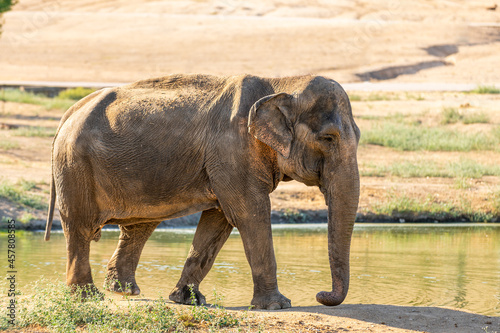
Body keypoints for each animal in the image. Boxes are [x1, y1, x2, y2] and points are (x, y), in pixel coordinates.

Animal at [45, 74, 360, 310]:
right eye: (328, 138)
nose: (320, 295)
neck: (281, 83)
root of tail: (71, 111)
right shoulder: (231, 150)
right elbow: (250, 212)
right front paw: (278, 306)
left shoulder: (225, 160)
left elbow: (219, 220)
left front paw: (189, 300)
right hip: (74, 164)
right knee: (80, 226)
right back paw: (87, 297)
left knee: (139, 227)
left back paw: (124, 291)